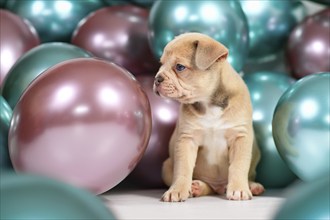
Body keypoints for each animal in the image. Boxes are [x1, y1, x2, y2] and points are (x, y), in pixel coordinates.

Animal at [153, 31, 264, 202]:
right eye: (161, 64)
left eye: (180, 67)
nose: (157, 79)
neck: (209, 102)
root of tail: (219, 187)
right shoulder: (187, 139)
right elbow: (183, 169)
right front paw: (177, 190)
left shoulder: (240, 137)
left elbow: (238, 166)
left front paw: (239, 189)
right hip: (166, 166)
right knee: (208, 187)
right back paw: (197, 187)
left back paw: (252, 186)